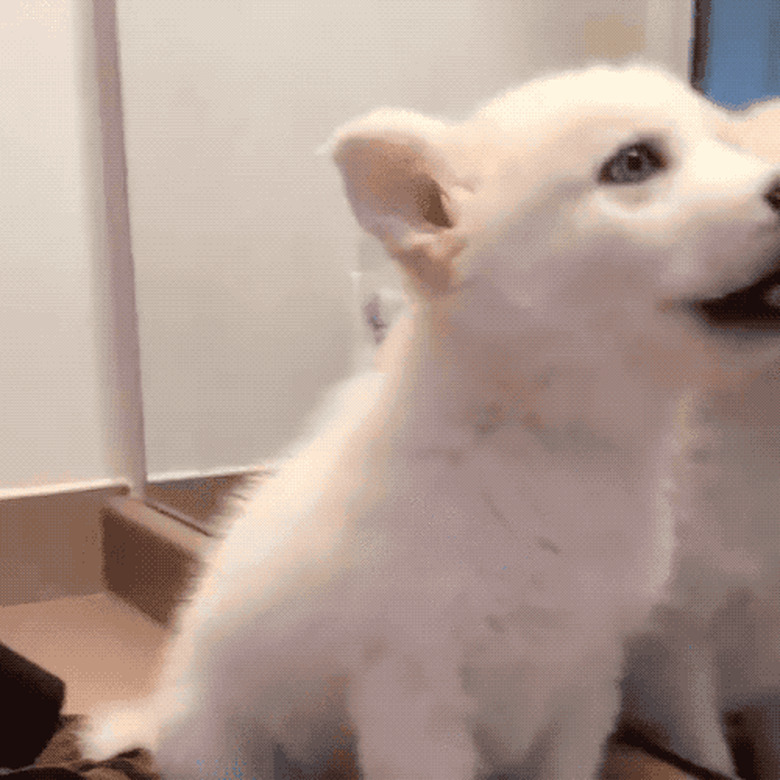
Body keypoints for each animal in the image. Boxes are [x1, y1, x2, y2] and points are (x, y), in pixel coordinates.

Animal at [82, 67, 780, 780]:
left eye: (732, 144)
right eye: (633, 162)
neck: (543, 447)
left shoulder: (587, 681)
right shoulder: (415, 692)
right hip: (222, 743)